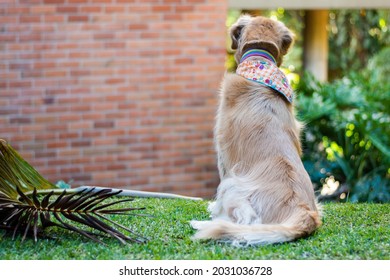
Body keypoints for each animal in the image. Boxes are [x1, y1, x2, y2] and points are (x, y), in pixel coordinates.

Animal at [190, 15, 322, 246]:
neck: (259, 63)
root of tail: (305, 213)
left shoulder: (224, 156)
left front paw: (212, 210)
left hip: (233, 185)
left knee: (243, 222)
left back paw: (204, 224)